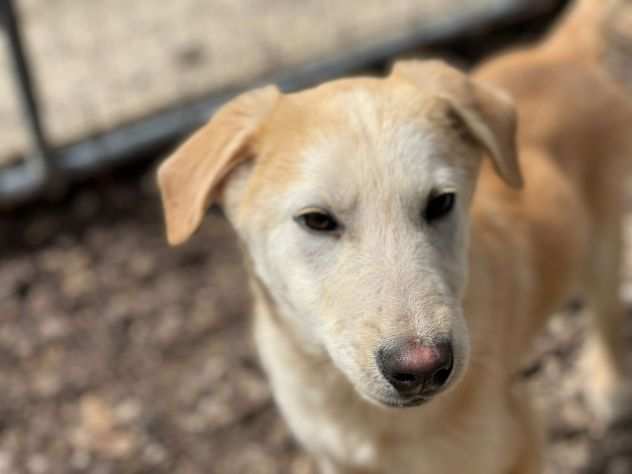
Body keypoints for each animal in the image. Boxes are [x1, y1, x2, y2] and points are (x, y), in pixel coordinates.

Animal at [157, 1, 632, 472]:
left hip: (603, 244)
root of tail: (561, 54)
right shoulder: (332, 458)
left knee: (607, 312)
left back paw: (608, 382)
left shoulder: (520, 442)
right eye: (317, 220)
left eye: (441, 203)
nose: (422, 369)